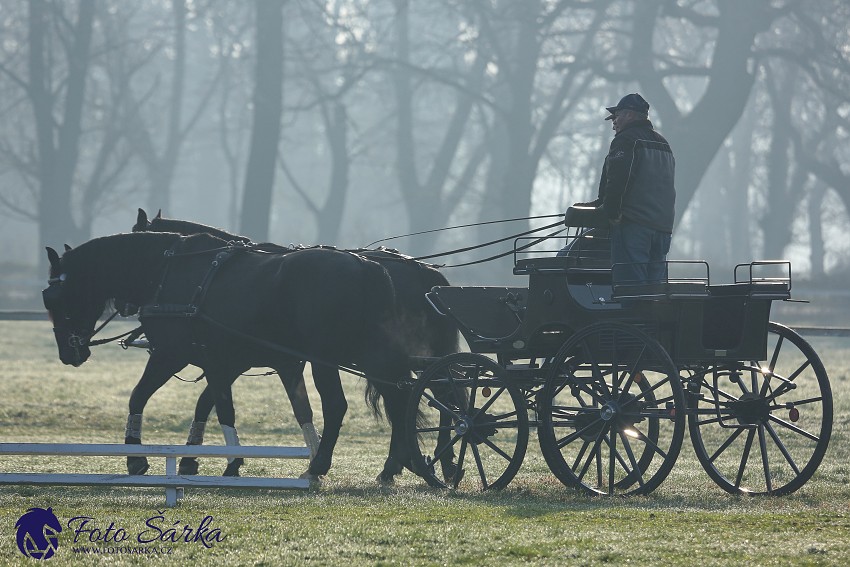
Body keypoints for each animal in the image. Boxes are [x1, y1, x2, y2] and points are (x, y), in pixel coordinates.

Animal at [44, 233, 420, 482]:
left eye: (53, 298)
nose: (69, 353)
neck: (170, 270)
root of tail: (365, 264)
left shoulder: (171, 354)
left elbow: (148, 397)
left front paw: (138, 459)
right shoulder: (228, 363)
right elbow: (214, 405)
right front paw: (193, 460)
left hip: (326, 358)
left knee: (339, 405)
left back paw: (321, 466)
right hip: (371, 356)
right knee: (398, 397)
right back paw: (393, 465)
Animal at [132, 210, 460, 484]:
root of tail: (423, 271)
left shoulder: (231, 360)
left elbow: (211, 402)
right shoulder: (242, 362)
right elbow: (213, 402)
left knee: (417, 399)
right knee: (429, 396)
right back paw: (425, 464)